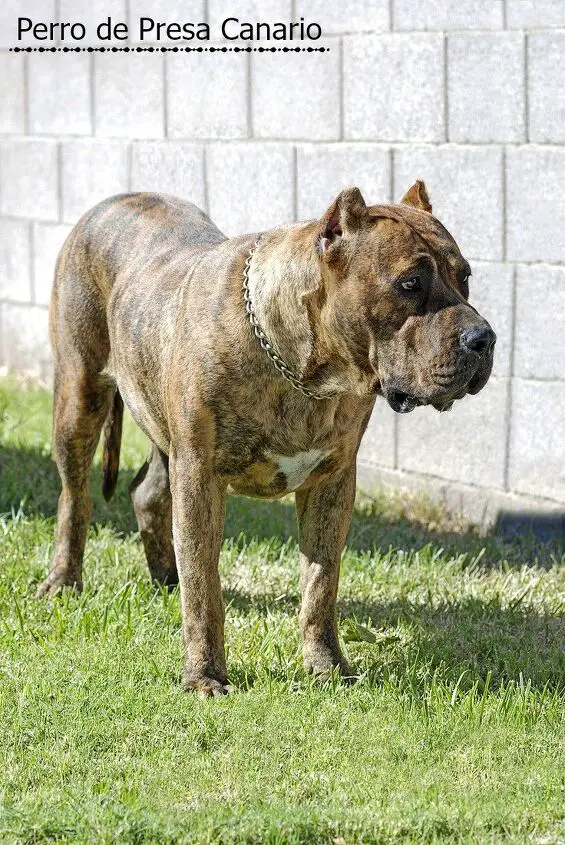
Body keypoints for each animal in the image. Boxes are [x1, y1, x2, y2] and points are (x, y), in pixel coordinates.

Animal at [37, 181, 494, 696]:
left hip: (160, 424)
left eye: (466, 278)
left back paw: (166, 578)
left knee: (147, 493)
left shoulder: (333, 482)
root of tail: (116, 199)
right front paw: (205, 676)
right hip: (79, 397)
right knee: (75, 497)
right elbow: (205, 587)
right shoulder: (200, 477)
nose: (484, 338)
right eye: (410, 284)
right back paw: (63, 581)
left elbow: (320, 584)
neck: (305, 373)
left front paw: (326, 666)